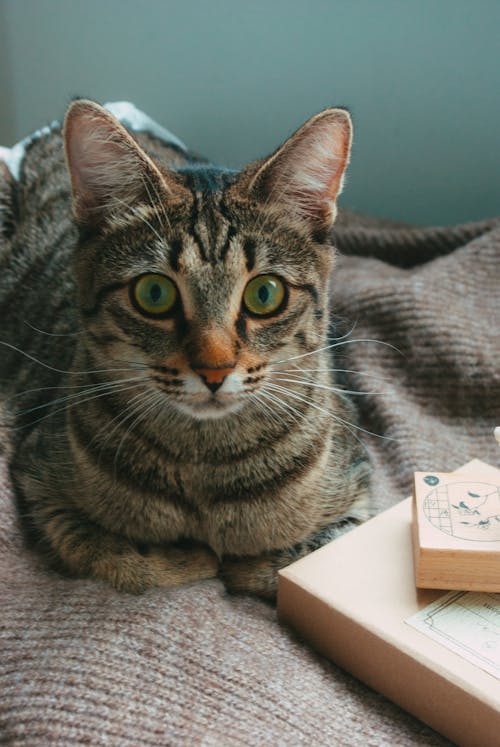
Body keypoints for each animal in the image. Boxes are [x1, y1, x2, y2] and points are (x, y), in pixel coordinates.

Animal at [0, 101, 368, 600]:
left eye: (265, 293)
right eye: (153, 293)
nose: (214, 369)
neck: (204, 467)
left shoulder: (359, 494)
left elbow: (287, 562)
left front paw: (242, 562)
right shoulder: (39, 482)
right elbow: (118, 557)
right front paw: (191, 558)